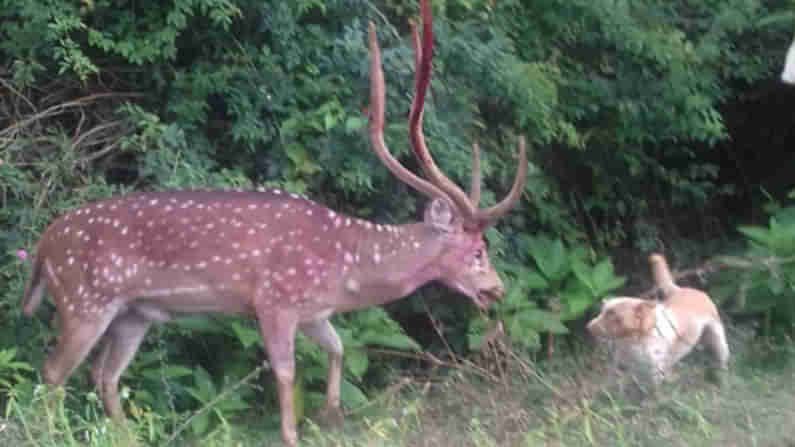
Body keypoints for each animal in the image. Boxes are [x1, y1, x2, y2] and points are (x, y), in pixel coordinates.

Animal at [20, 0, 528, 444]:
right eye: (478, 251)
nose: (497, 289)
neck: (346, 266)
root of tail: (43, 246)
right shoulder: (273, 300)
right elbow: (286, 373)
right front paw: (293, 434)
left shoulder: (314, 312)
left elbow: (338, 348)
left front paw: (331, 414)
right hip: (85, 299)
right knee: (52, 373)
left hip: (134, 312)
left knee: (104, 375)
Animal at [588, 254, 732, 386]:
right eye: (602, 311)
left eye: (615, 316)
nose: (588, 327)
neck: (635, 341)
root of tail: (682, 289)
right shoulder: (627, 368)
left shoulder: (655, 372)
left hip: (719, 339)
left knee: (722, 358)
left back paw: (721, 374)